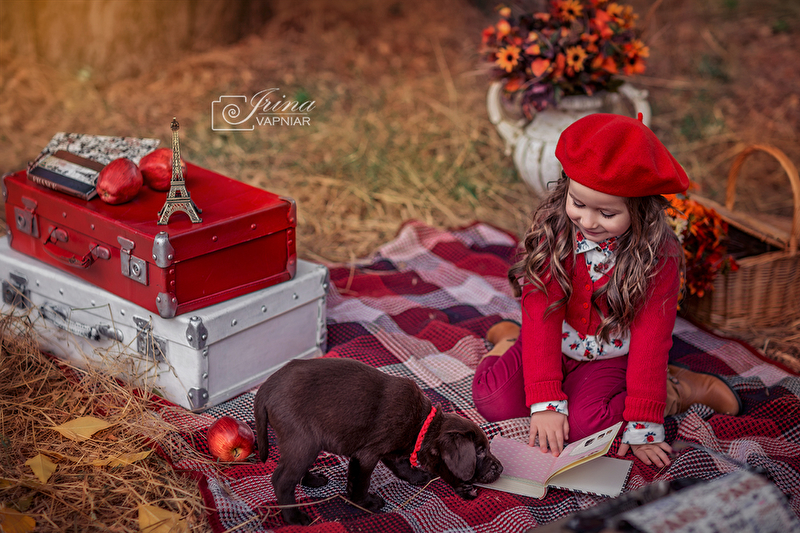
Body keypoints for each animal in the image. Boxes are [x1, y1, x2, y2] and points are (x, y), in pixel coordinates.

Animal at [254, 357, 503, 525]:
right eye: (479, 451)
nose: (500, 468)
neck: (422, 424)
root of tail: (265, 388)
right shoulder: (367, 455)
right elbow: (360, 483)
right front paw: (366, 504)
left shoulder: (393, 450)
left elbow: (402, 466)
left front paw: (417, 476)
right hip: (303, 442)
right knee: (282, 480)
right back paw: (294, 517)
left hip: (304, 445)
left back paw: (312, 480)